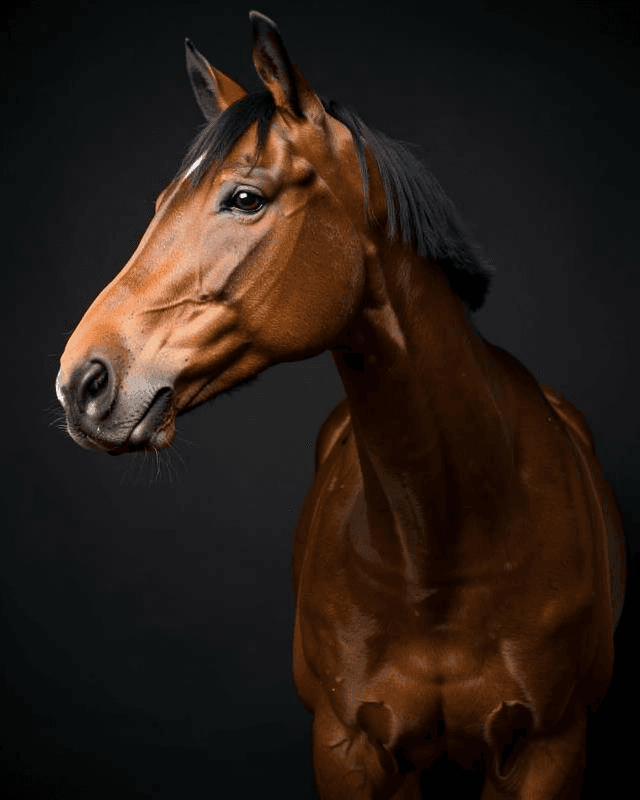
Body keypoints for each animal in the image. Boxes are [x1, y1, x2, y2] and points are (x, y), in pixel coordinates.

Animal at [56, 11, 626, 799]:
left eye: (245, 198)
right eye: (159, 205)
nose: (81, 381)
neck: (445, 547)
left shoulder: (550, 750)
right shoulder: (348, 747)